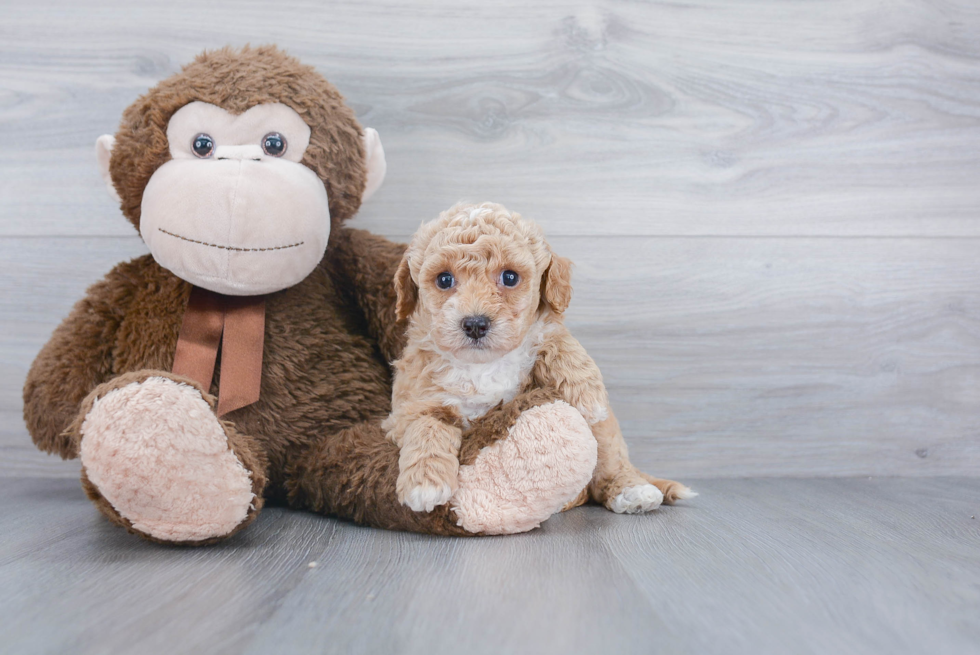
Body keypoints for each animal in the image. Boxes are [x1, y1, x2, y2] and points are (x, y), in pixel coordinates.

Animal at [382, 202, 696, 516]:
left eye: (510, 277)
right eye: (444, 279)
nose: (475, 324)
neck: (483, 365)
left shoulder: (543, 331)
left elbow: (555, 338)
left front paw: (589, 394)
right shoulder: (412, 405)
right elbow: (427, 426)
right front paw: (424, 484)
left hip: (607, 441)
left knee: (610, 463)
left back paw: (632, 490)